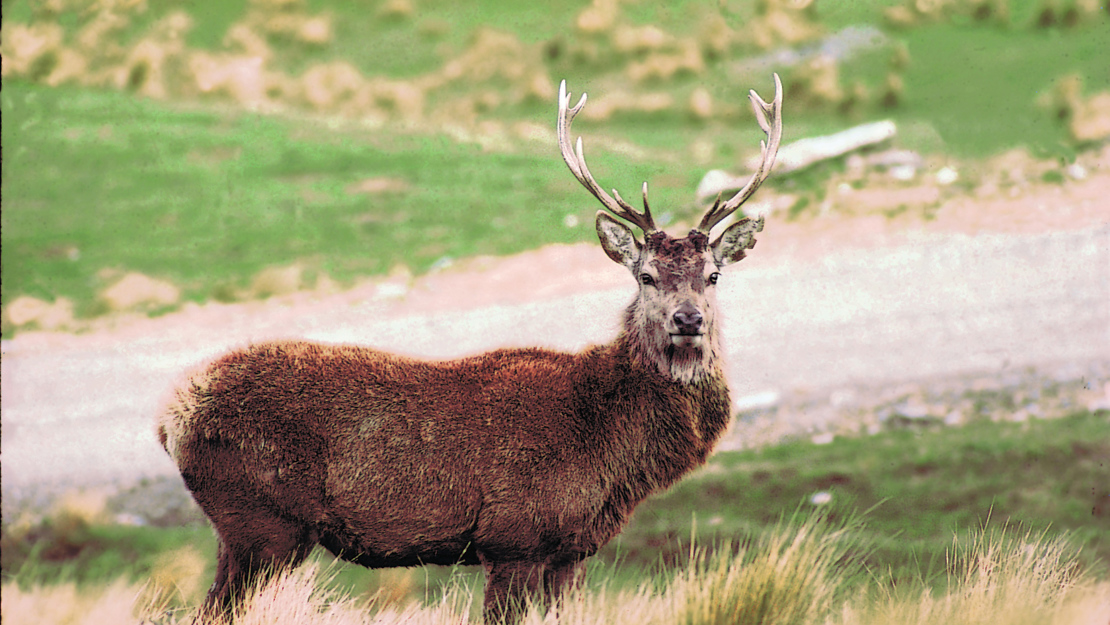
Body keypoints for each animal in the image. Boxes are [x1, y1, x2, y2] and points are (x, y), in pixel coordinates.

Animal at [157, 74, 782, 623]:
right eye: (647, 276)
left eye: (713, 274)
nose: (688, 319)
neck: (610, 449)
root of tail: (172, 417)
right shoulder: (512, 538)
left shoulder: (571, 551)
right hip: (262, 523)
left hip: (246, 531)